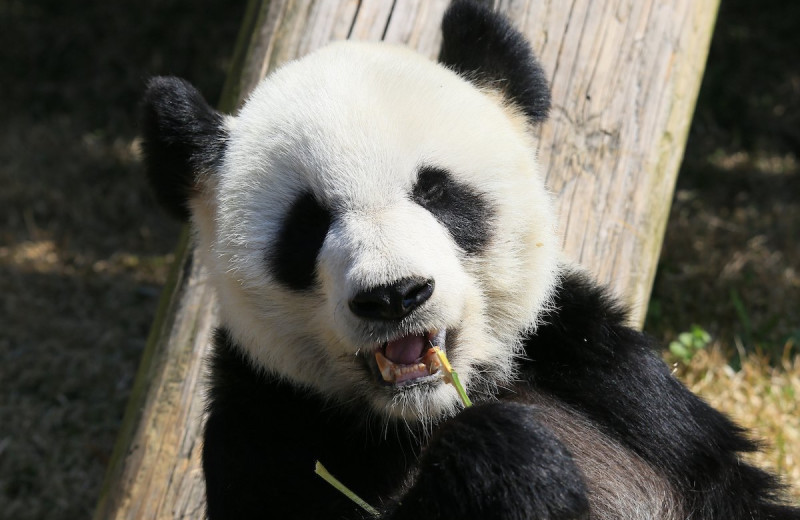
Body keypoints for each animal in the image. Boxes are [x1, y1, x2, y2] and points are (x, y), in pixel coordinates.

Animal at [139, 1, 800, 520]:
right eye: (308, 224)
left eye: (436, 192)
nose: (394, 295)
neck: (424, 411)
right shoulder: (267, 418)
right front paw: (511, 461)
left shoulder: (607, 372)